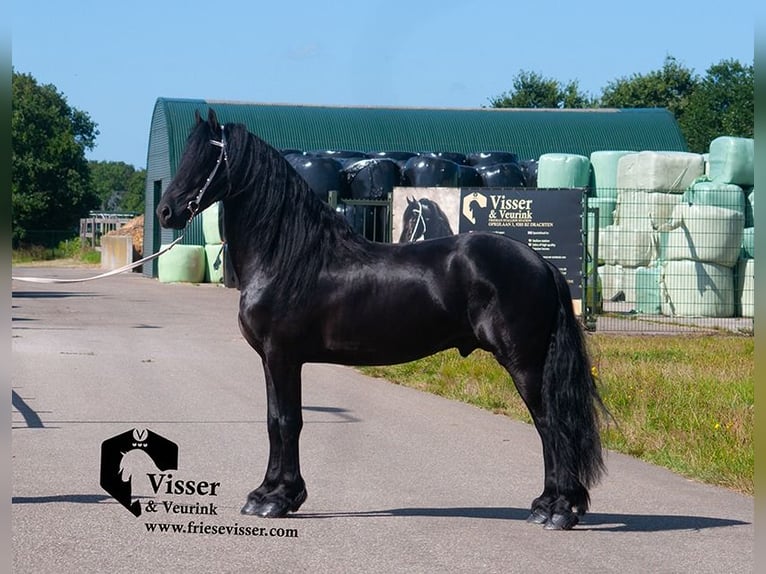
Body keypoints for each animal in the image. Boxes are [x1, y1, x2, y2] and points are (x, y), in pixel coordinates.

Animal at [156, 110, 608, 532]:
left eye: (207, 157)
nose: (166, 211)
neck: (288, 258)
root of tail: (542, 263)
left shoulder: (282, 356)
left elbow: (288, 422)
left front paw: (278, 499)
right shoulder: (272, 360)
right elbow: (273, 421)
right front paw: (269, 493)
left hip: (526, 364)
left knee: (551, 424)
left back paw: (556, 510)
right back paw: (552, 505)